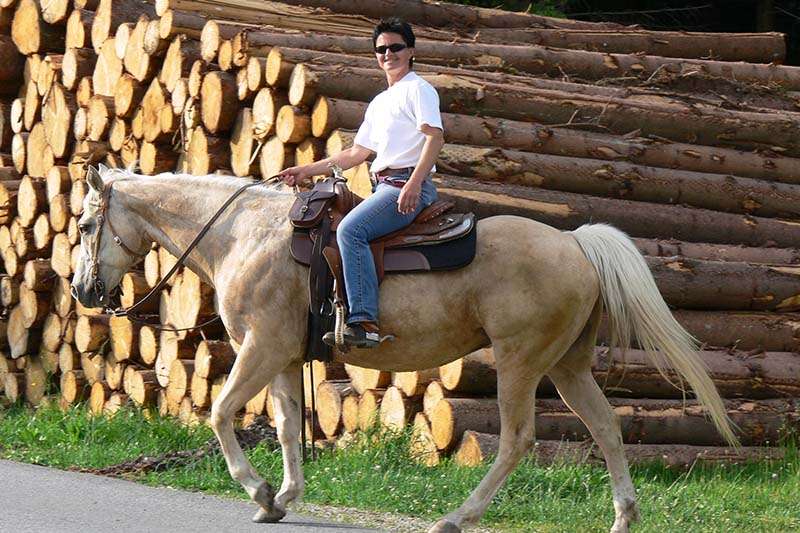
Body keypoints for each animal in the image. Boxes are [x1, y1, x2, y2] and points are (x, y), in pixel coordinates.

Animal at [72, 166, 736, 532]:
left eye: (83, 225)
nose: (82, 290)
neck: (243, 235)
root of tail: (576, 244)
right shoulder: (283, 357)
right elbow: (287, 428)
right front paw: (282, 498)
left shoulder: (259, 349)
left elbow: (218, 412)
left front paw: (257, 491)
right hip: (568, 366)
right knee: (606, 427)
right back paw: (623, 517)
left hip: (520, 363)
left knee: (518, 440)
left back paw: (456, 518)